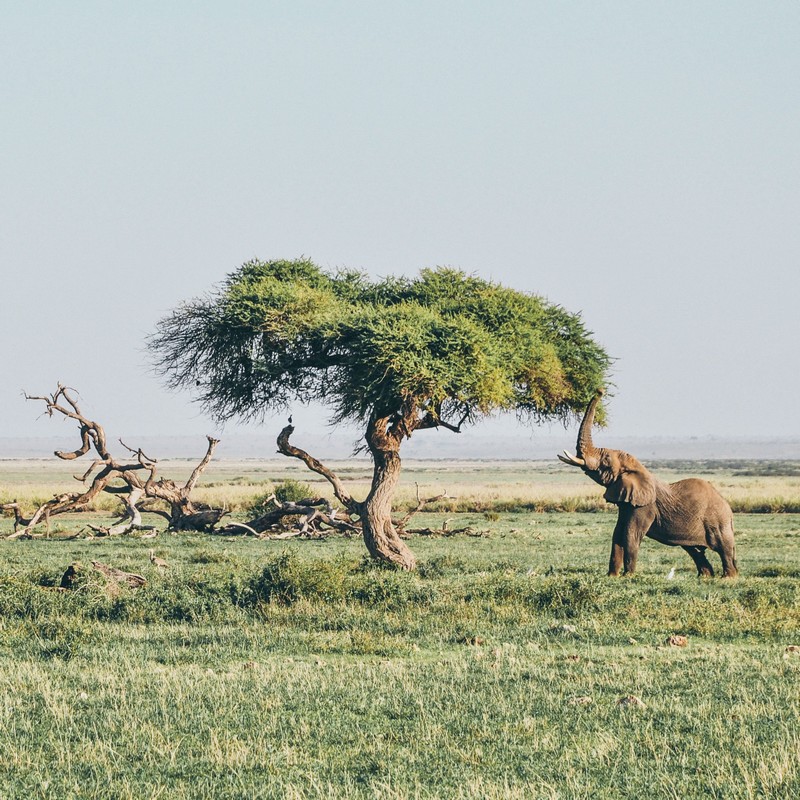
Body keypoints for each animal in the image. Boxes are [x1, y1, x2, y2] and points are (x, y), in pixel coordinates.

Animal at [556, 390, 736, 580]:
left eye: (605, 461)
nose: (600, 390)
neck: (638, 468)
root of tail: (728, 507)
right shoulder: (627, 502)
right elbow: (617, 533)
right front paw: (612, 576)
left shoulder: (644, 506)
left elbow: (630, 534)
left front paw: (628, 576)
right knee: (694, 550)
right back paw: (705, 577)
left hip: (718, 521)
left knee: (724, 548)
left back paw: (728, 578)